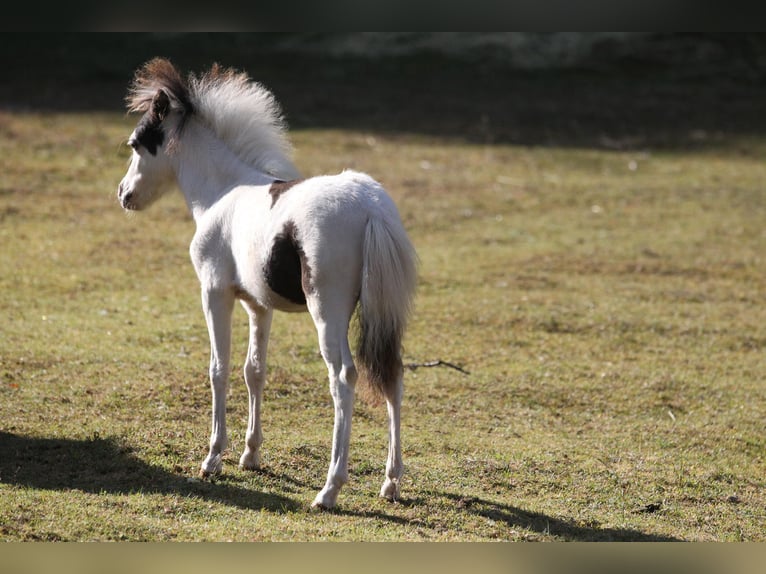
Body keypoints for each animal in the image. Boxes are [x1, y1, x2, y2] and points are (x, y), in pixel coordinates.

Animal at [118, 57, 420, 508]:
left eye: (138, 143)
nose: (123, 194)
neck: (223, 192)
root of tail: (371, 208)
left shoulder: (215, 293)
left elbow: (219, 369)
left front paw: (213, 458)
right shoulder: (258, 305)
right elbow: (254, 370)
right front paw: (251, 454)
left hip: (327, 312)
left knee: (343, 378)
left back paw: (330, 488)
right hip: (383, 311)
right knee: (393, 374)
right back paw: (391, 481)